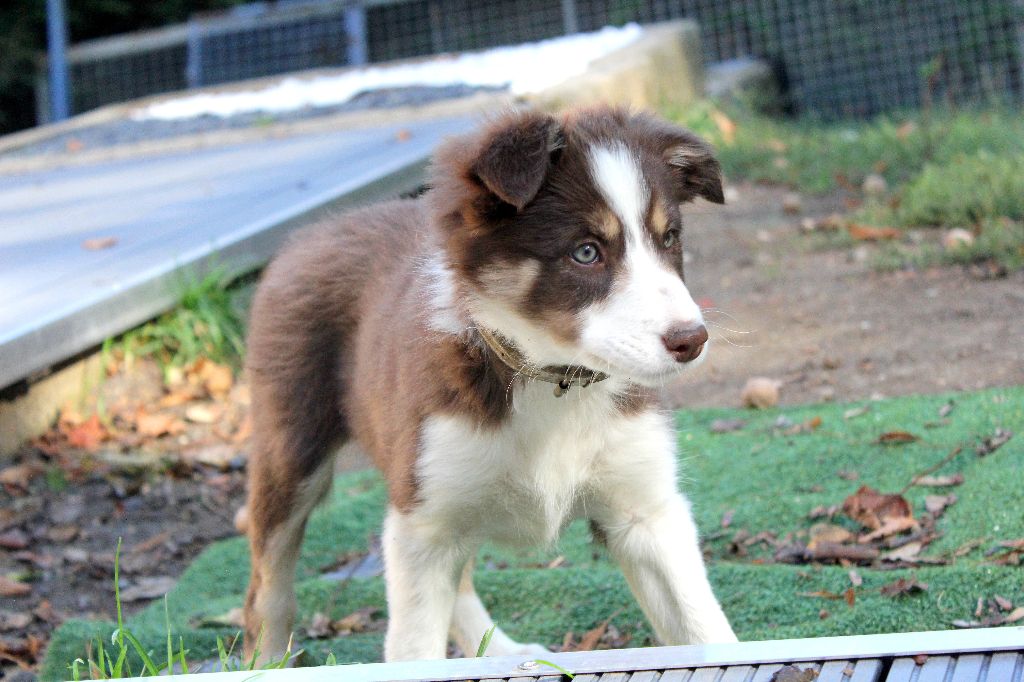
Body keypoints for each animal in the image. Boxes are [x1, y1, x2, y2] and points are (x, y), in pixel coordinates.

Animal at [239, 107, 737, 663]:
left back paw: (500, 650)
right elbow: (414, 651)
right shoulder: (423, 521)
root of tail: (315, 230)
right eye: (586, 252)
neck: (552, 380)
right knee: (268, 585)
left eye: (669, 238)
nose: (692, 340)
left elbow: (707, 632)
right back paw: (265, 663)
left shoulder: (646, 514)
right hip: (291, 447)